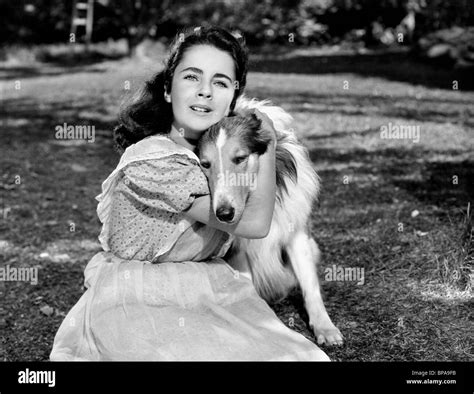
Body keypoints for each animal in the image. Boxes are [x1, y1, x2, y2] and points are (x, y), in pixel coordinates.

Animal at [196, 96, 344, 344]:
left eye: (240, 158)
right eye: (205, 164)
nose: (224, 215)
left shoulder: (297, 234)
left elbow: (310, 286)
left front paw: (326, 328)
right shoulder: (238, 248)